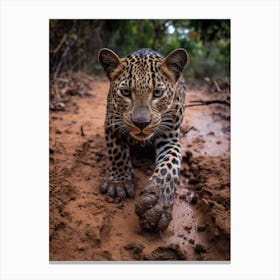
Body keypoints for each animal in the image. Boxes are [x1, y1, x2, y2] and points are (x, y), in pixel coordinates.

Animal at [98, 47, 188, 232]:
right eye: (125, 92)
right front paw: (119, 183)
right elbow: (117, 153)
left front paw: (158, 203)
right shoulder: (112, 124)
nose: (141, 123)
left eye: (157, 93)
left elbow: (170, 165)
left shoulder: (170, 137)